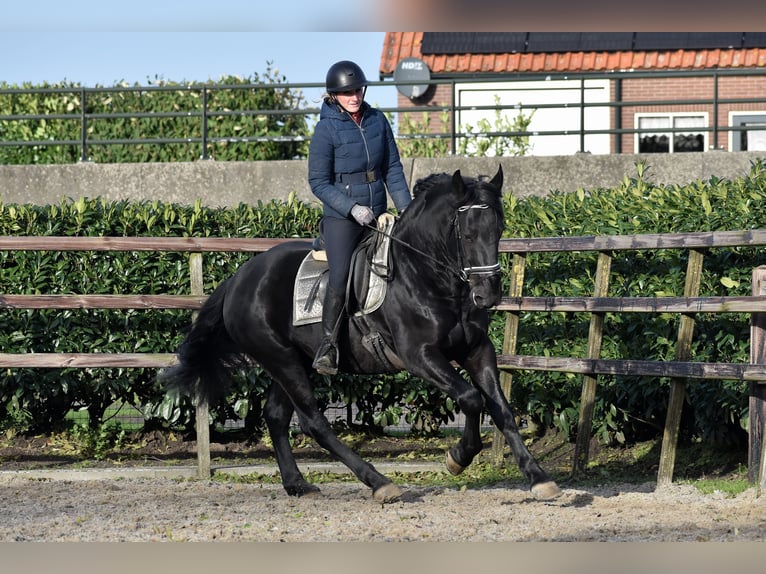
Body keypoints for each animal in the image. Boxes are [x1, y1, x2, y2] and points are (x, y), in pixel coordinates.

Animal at [162, 166, 560, 504]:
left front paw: (539, 478)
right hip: (282, 360)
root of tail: (238, 279)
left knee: (276, 416)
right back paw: (379, 483)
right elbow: (471, 399)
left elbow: (501, 409)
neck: (426, 275)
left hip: (292, 361)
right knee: (314, 422)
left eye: (499, 228)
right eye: (466, 233)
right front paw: (457, 458)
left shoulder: (477, 350)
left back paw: (297, 484)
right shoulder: (420, 356)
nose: (488, 295)